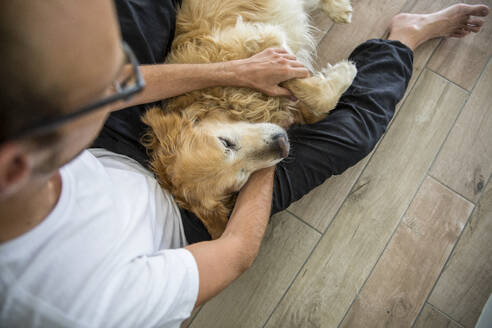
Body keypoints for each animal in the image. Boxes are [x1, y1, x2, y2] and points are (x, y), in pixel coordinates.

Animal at [140, 0, 356, 238]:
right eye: (241, 179)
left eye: (226, 143)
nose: (282, 144)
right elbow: (318, 104)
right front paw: (339, 76)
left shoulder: (263, 43)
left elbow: (305, 87)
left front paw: (344, 71)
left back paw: (338, 10)